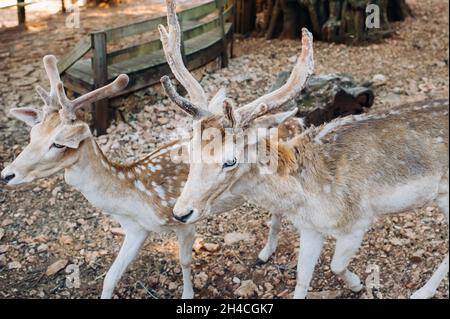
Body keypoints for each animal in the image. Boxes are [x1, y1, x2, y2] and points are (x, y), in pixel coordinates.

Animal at [166, 25, 450, 300]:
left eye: (230, 161)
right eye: (189, 151)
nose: (181, 213)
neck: (306, 197)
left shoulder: (358, 221)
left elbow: (336, 265)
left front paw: (358, 285)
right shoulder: (310, 228)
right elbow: (302, 279)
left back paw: (422, 293)